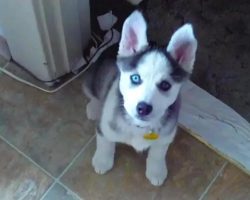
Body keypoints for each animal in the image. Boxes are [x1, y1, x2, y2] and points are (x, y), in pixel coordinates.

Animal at [84, 10, 197, 186]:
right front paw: (102, 160)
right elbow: (105, 143)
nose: (143, 108)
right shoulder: (105, 126)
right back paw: (93, 107)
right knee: (92, 93)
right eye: (135, 78)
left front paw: (156, 170)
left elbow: (158, 153)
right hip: (94, 78)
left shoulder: (166, 135)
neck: (139, 127)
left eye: (165, 85)